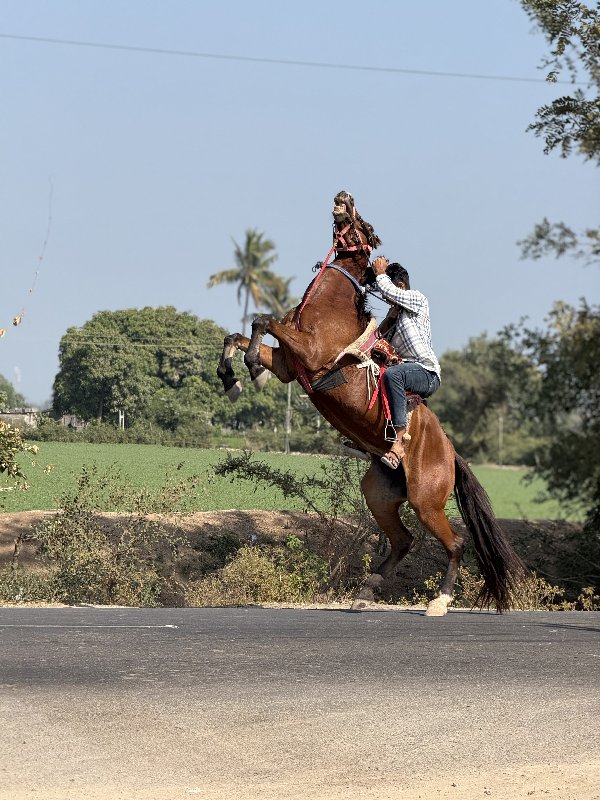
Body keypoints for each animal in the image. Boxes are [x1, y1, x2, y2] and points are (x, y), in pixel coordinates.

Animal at [218, 191, 524, 616]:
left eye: (363, 223)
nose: (342, 196)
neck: (327, 305)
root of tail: (449, 452)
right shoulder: (288, 367)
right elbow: (238, 334)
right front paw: (232, 379)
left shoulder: (311, 355)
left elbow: (263, 320)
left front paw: (249, 368)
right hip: (379, 494)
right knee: (403, 540)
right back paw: (367, 589)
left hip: (426, 500)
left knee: (455, 543)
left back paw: (439, 601)